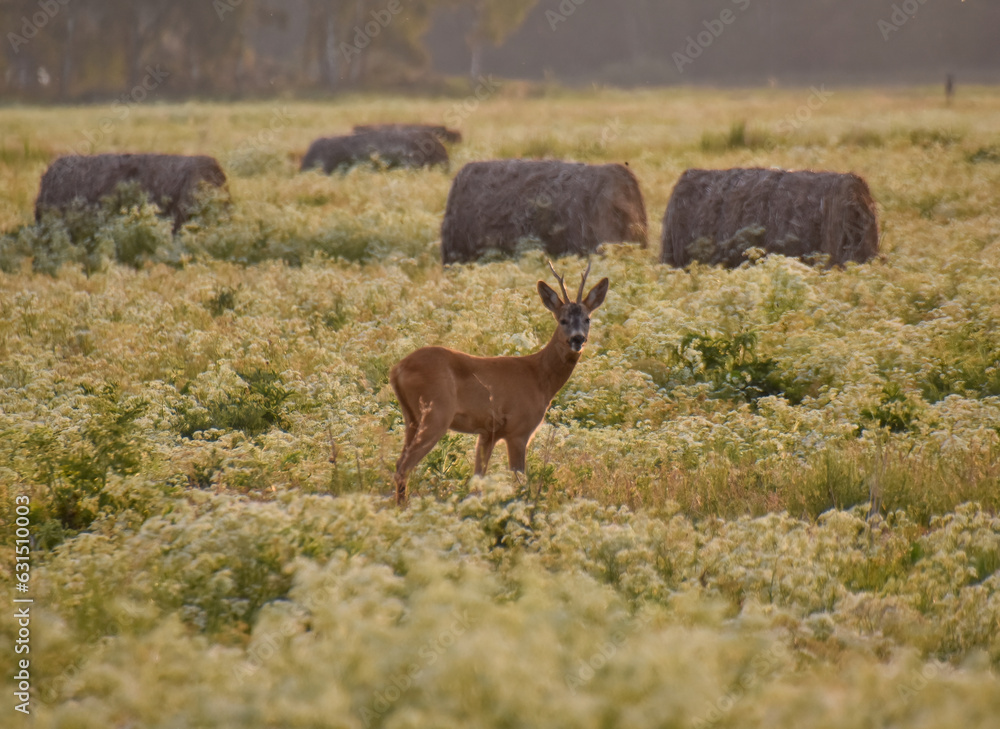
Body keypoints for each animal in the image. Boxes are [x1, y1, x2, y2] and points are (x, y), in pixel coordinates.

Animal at [389, 261, 609, 505]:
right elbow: (521, 480)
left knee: (399, 463)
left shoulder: (488, 433)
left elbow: (477, 480)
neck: (539, 378)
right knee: (403, 467)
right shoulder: (519, 430)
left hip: (411, 418)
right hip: (435, 413)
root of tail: (397, 369)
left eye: (588, 319)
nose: (577, 339)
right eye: (563, 320)